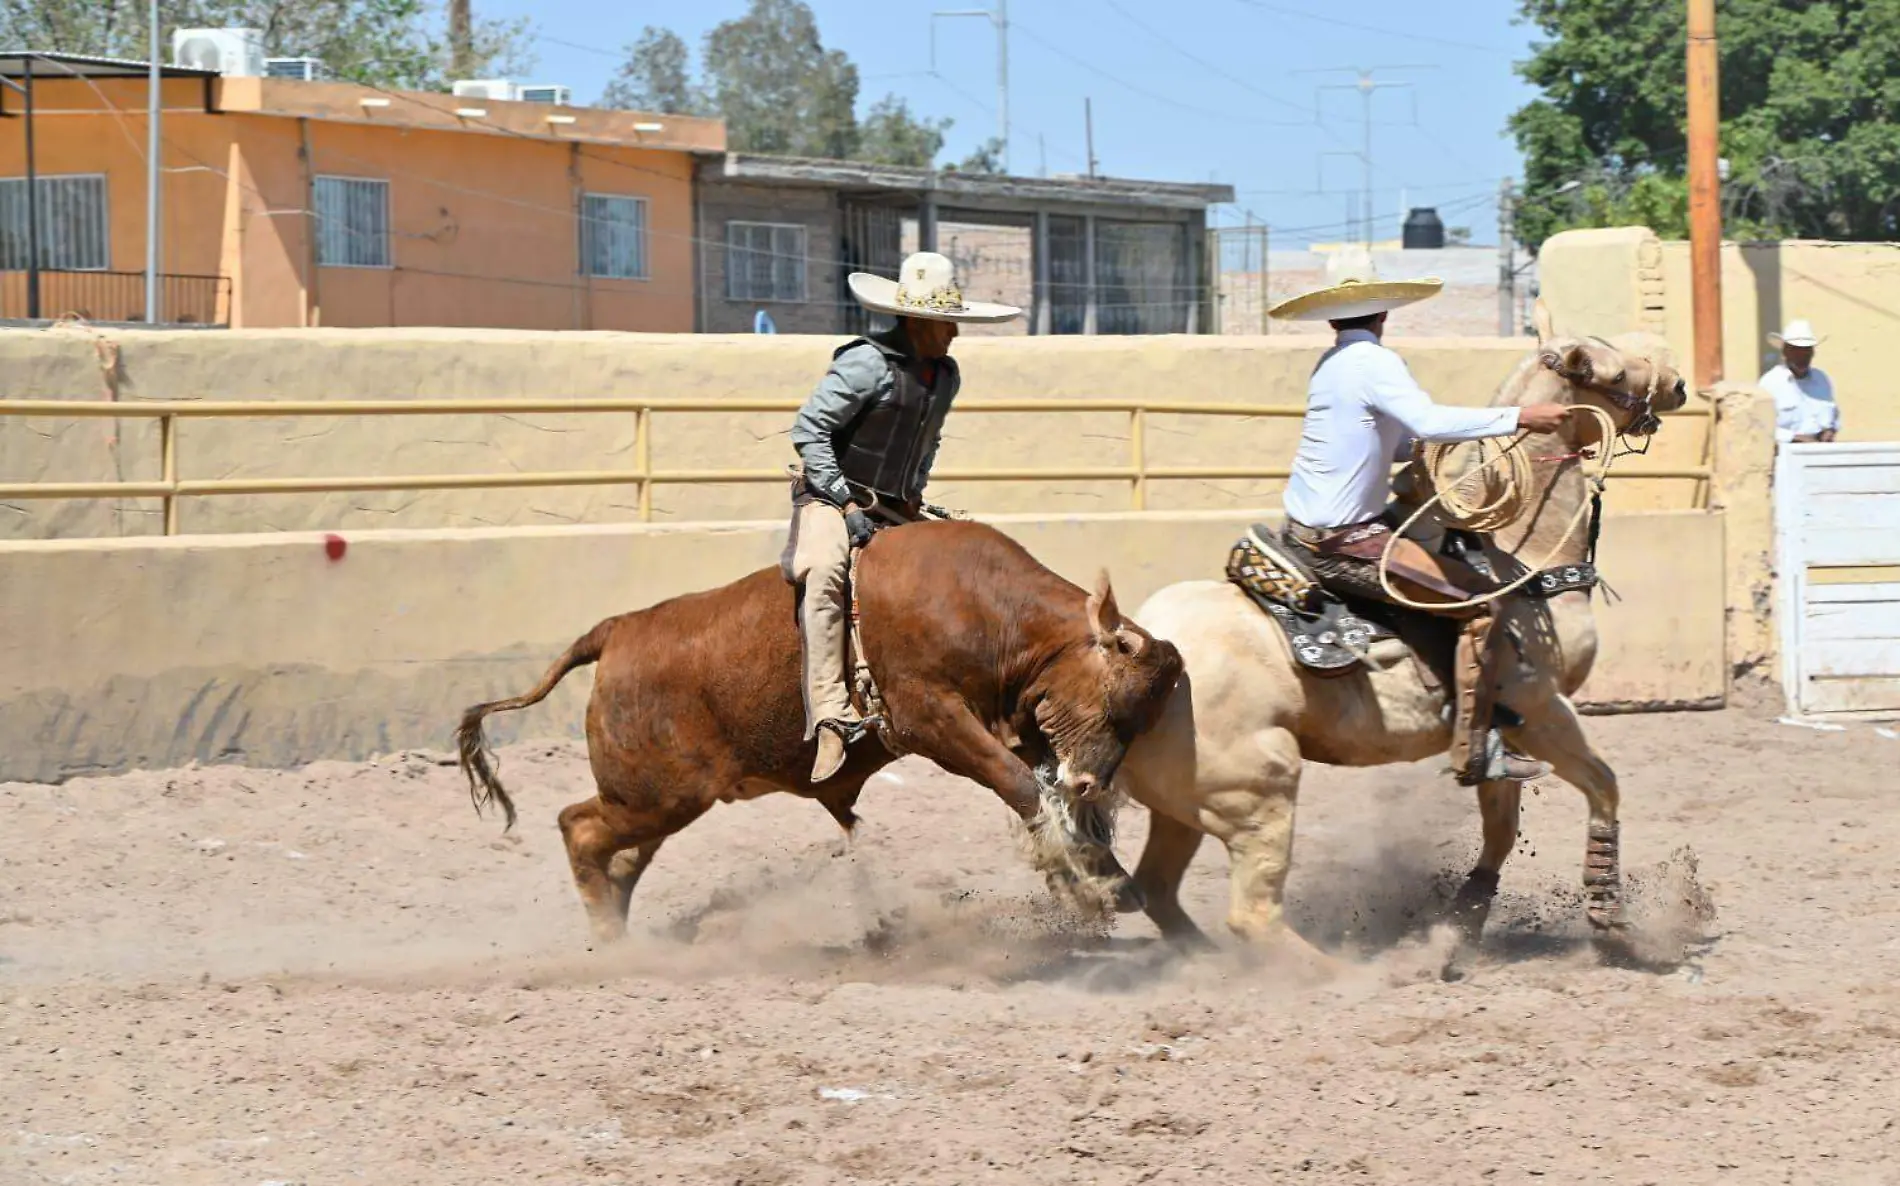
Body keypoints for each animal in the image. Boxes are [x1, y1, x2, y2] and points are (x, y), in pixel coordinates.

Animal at [452, 516, 1178, 946]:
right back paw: (610, 945)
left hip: (654, 803)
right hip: (652, 796)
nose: (1092, 781)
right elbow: (1021, 786)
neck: (985, 608)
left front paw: (1107, 882)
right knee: (578, 828)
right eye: (1115, 696)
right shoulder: (929, 718)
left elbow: (1049, 804)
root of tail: (619, 629)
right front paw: (1082, 890)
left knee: (618, 857)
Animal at [1117, 315, 1687, 954]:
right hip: (1257, 793)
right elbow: (1602, 785)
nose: (1678, 384)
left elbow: (1500, 824)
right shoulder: (1540, 708)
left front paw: (1462, 924)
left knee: (1158, 890)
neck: (1519, 555)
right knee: (1251, 916)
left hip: (1181, 805)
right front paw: (1611, 919)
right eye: (1613, 372)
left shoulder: (1502, 727)